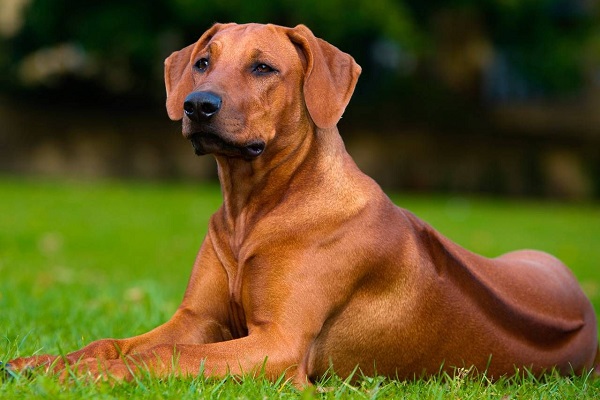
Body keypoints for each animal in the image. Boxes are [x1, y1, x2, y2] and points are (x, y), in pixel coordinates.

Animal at [7, 23, 596, 386]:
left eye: (264, 68)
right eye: (202, 63)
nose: (197, 105)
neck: (253, 211)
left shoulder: (279, 344)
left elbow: (169, 354)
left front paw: (80, 375)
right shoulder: (197, 318)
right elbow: (115, 341)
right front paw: (47, 360)